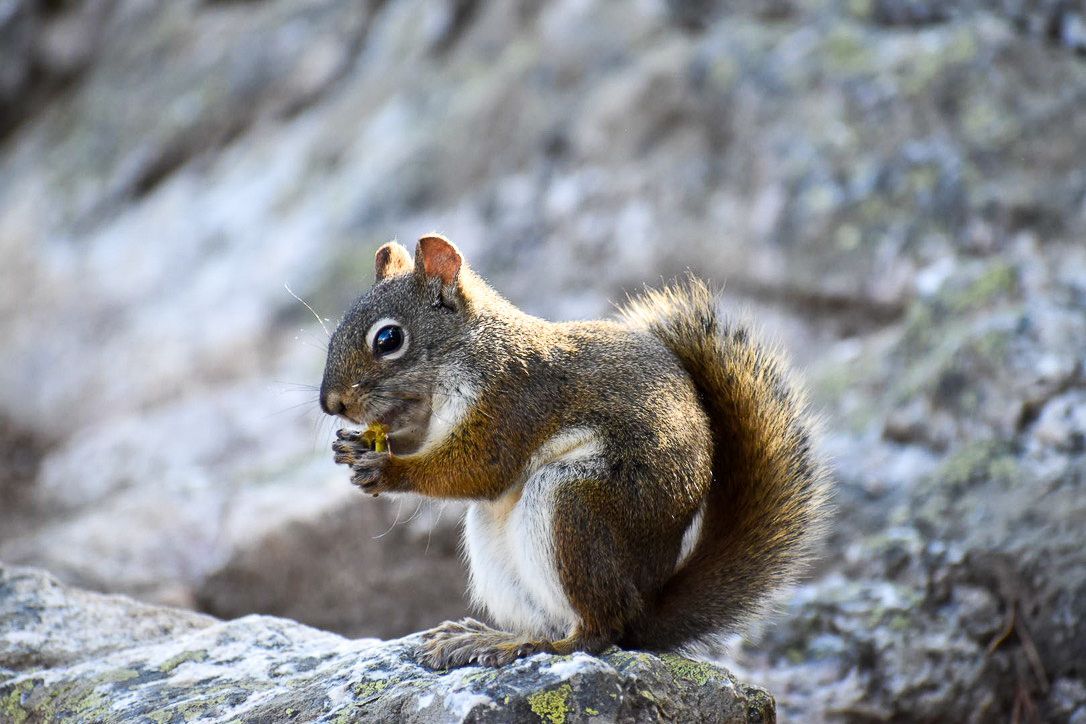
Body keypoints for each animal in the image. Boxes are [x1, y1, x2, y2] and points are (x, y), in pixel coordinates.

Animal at [320, 234, 830, 668]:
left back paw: (535, 645)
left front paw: (388, 469)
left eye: (388, 339)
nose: (331, 404)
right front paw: (355, 447)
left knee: (598, 633)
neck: (461, 356)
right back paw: (487, 637)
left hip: (575, 506)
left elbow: (479, 469)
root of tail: (646, 611)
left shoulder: (513, 400)